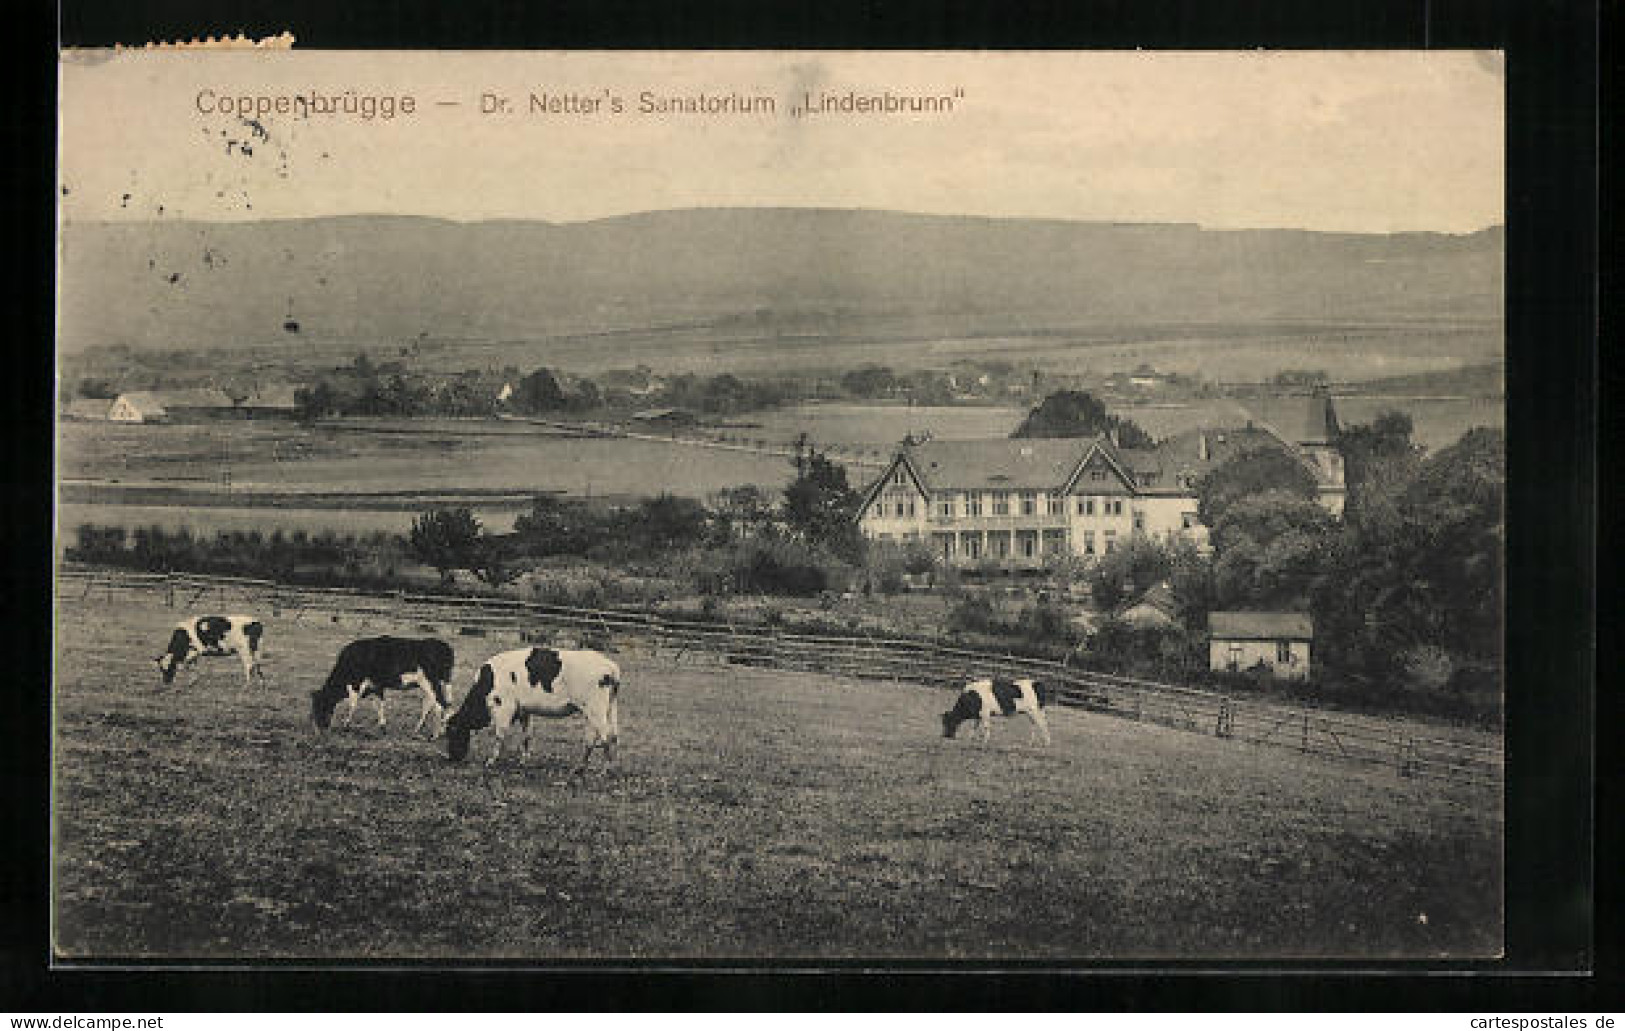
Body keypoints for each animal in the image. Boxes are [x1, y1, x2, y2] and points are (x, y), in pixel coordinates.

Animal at [310, 630, 458, 735]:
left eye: (320, 706)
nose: (318, 730)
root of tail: (441, 645)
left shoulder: (357, 684)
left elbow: (353, 703)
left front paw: (346, 724)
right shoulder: (376, 685)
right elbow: (379, 704)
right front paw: (382, 725)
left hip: (429, 682)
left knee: (438, 705)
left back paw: (435, 735)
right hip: (438, 682)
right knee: (437, 704)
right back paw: (421, 729)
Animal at [445, 643, 620, 770]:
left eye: (452, 731)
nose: (452, 758)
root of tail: (609, 665)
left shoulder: (503, 707)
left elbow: (499, 735)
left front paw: (491, 761)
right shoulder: (524, 710)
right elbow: (527, 736)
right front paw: (523, 761)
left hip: (596, 710)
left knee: (606, 736)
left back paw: (605, 769)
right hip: (600, 710)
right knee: (597, 737)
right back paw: (580, 768)